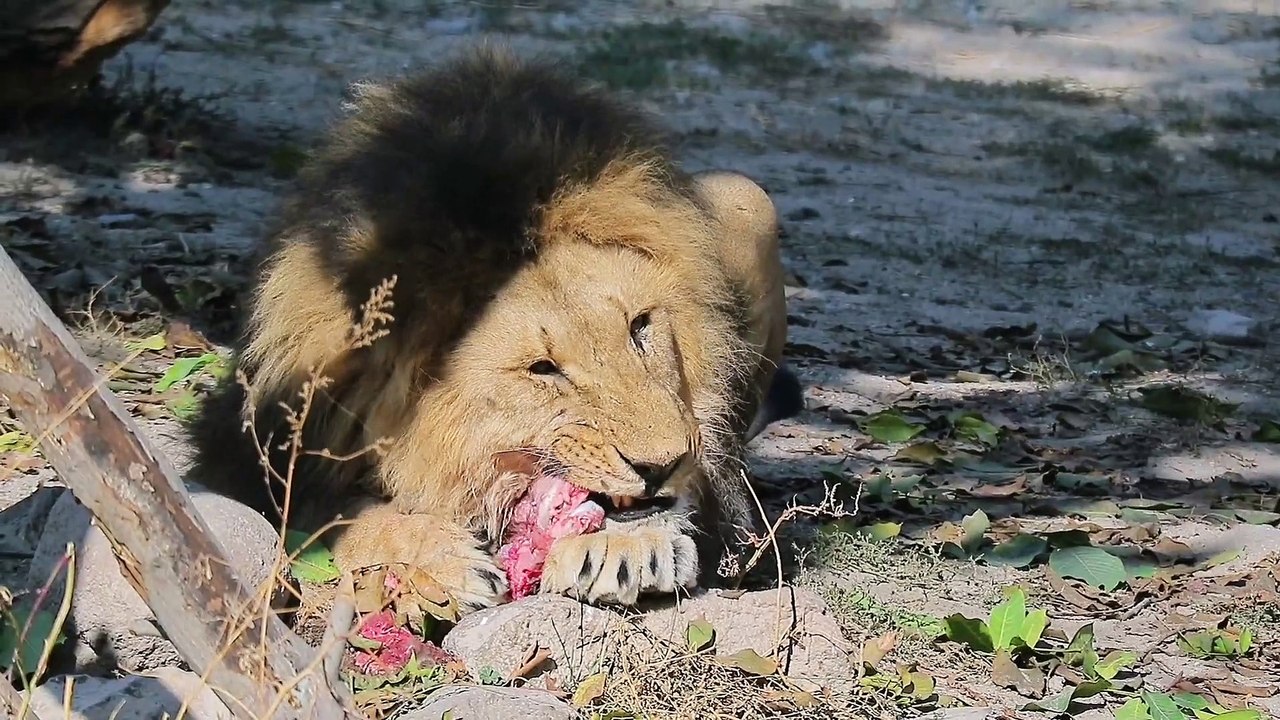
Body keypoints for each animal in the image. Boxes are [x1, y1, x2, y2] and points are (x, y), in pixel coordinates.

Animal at [187, 45, 802, 613]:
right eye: (543, 369)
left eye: (640, 327)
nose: (663, 464)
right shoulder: (253, 450)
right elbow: (333, 517)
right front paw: (434, 559)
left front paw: (628, 546)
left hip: (745, 193)